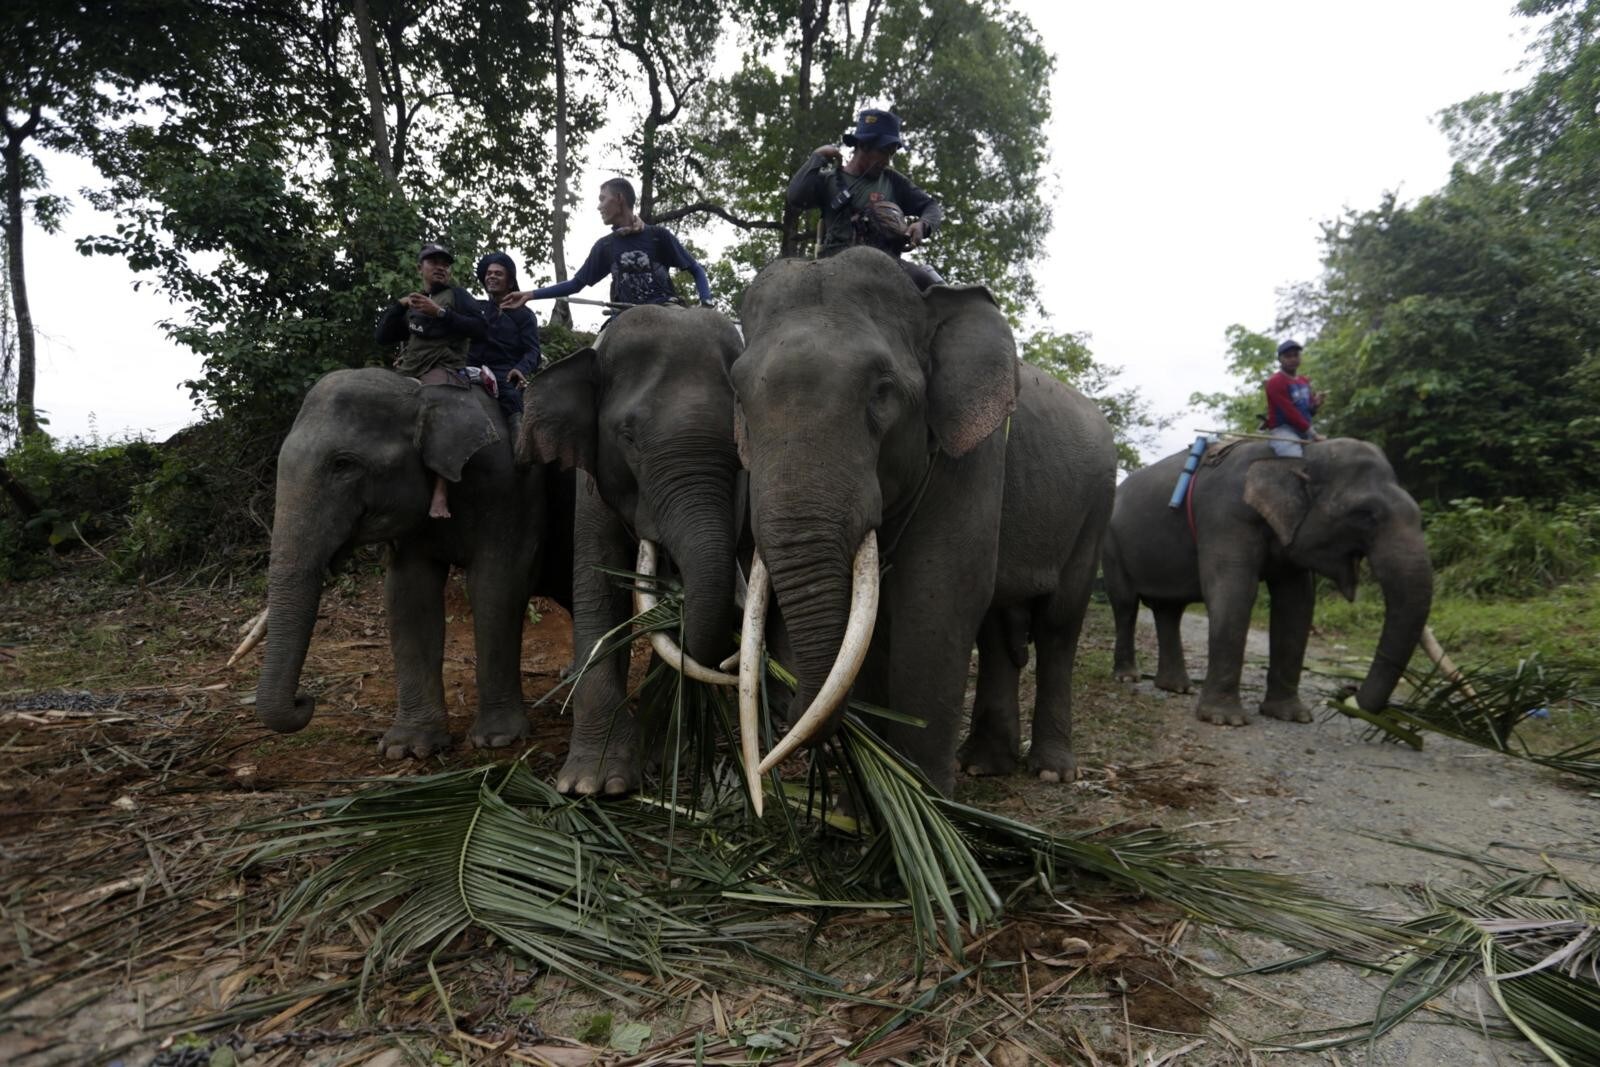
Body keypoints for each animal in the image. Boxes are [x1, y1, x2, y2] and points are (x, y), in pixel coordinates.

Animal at [255, 367, 553, 757]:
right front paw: (408, 748)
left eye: (343, 465)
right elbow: (408, 594)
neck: (424, 395)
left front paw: (498, 740)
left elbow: (496, 586)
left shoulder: (508, 488)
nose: (304, 699)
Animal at [520, 304, 744, 796]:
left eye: (743, 439)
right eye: (628, 436)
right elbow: (599, 585)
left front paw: (659, 758)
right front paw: (591, 785)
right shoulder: (591, 487)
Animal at [730, 247, 1117, 798]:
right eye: (739, 396)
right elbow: (876, 625)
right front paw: (872, 795)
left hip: (1096, 505)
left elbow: (938, 598)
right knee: (997, 627)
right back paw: (983, 766)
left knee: (1058, 625)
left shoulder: (973, 459)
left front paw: (925, 798)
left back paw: (1050, 771)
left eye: (882, 391)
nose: (788, 722)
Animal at [1101, 437, 1433, 725]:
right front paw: (1226, 720)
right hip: (1112, 545)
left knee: (1168, 610)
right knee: (1126, 605)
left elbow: (1296, 603)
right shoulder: (1226, 515)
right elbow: (1233, 592)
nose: (1349, 694)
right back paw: (1128, 677)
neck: (1298, 455)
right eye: (1366, 514)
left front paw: (1292, 716)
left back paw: (1177, 688)